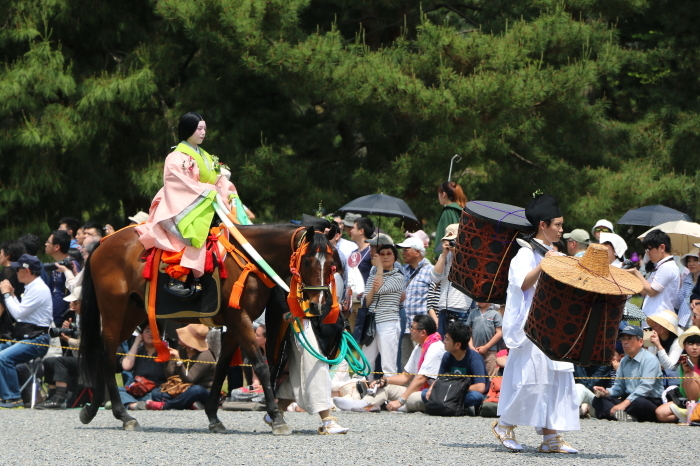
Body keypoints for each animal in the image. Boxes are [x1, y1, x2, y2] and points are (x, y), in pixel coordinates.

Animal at [78, 224, 338, 432]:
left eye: (332, 264)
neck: (251, 259)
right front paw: (276, 418)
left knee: (103, 355)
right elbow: (261, 366)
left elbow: (222, 366)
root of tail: (104, 243)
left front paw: (213, 417)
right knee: (108, 356)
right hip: (113, 310)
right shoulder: (241, 319)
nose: (318, 303)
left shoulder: (234, 324)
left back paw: (92, 409)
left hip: (131, 313)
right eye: (307, 261)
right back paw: (123, 415)